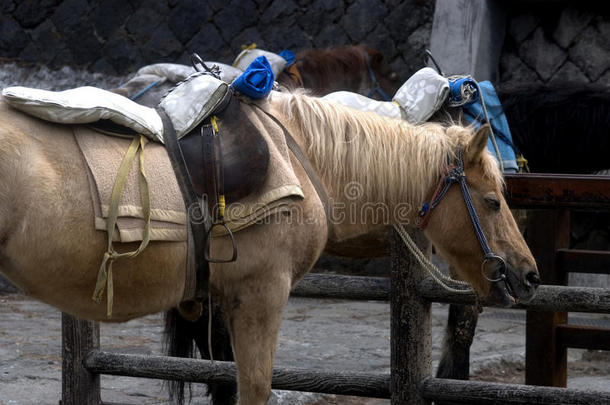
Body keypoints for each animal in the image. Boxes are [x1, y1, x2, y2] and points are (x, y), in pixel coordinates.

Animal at [0, 91, 536, 404]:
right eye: (493, 201)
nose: (527, 274)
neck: (299, 155)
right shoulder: (262, 293)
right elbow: (256, 386)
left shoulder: (222, 301)